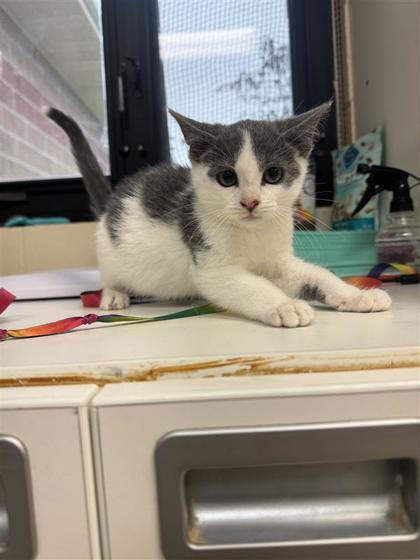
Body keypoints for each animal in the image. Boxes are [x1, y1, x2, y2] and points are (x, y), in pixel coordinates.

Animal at [47, 104, 392, 328]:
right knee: (109, 276)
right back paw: (115, 294)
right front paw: (285, 304)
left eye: (274, 174)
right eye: (227, 178)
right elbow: (250, 285)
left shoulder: (278, 260)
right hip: (110, 249)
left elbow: (317, 275)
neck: (253, 233)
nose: (250, 202)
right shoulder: (210, 265)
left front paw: (358, 295)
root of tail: (113, 200)